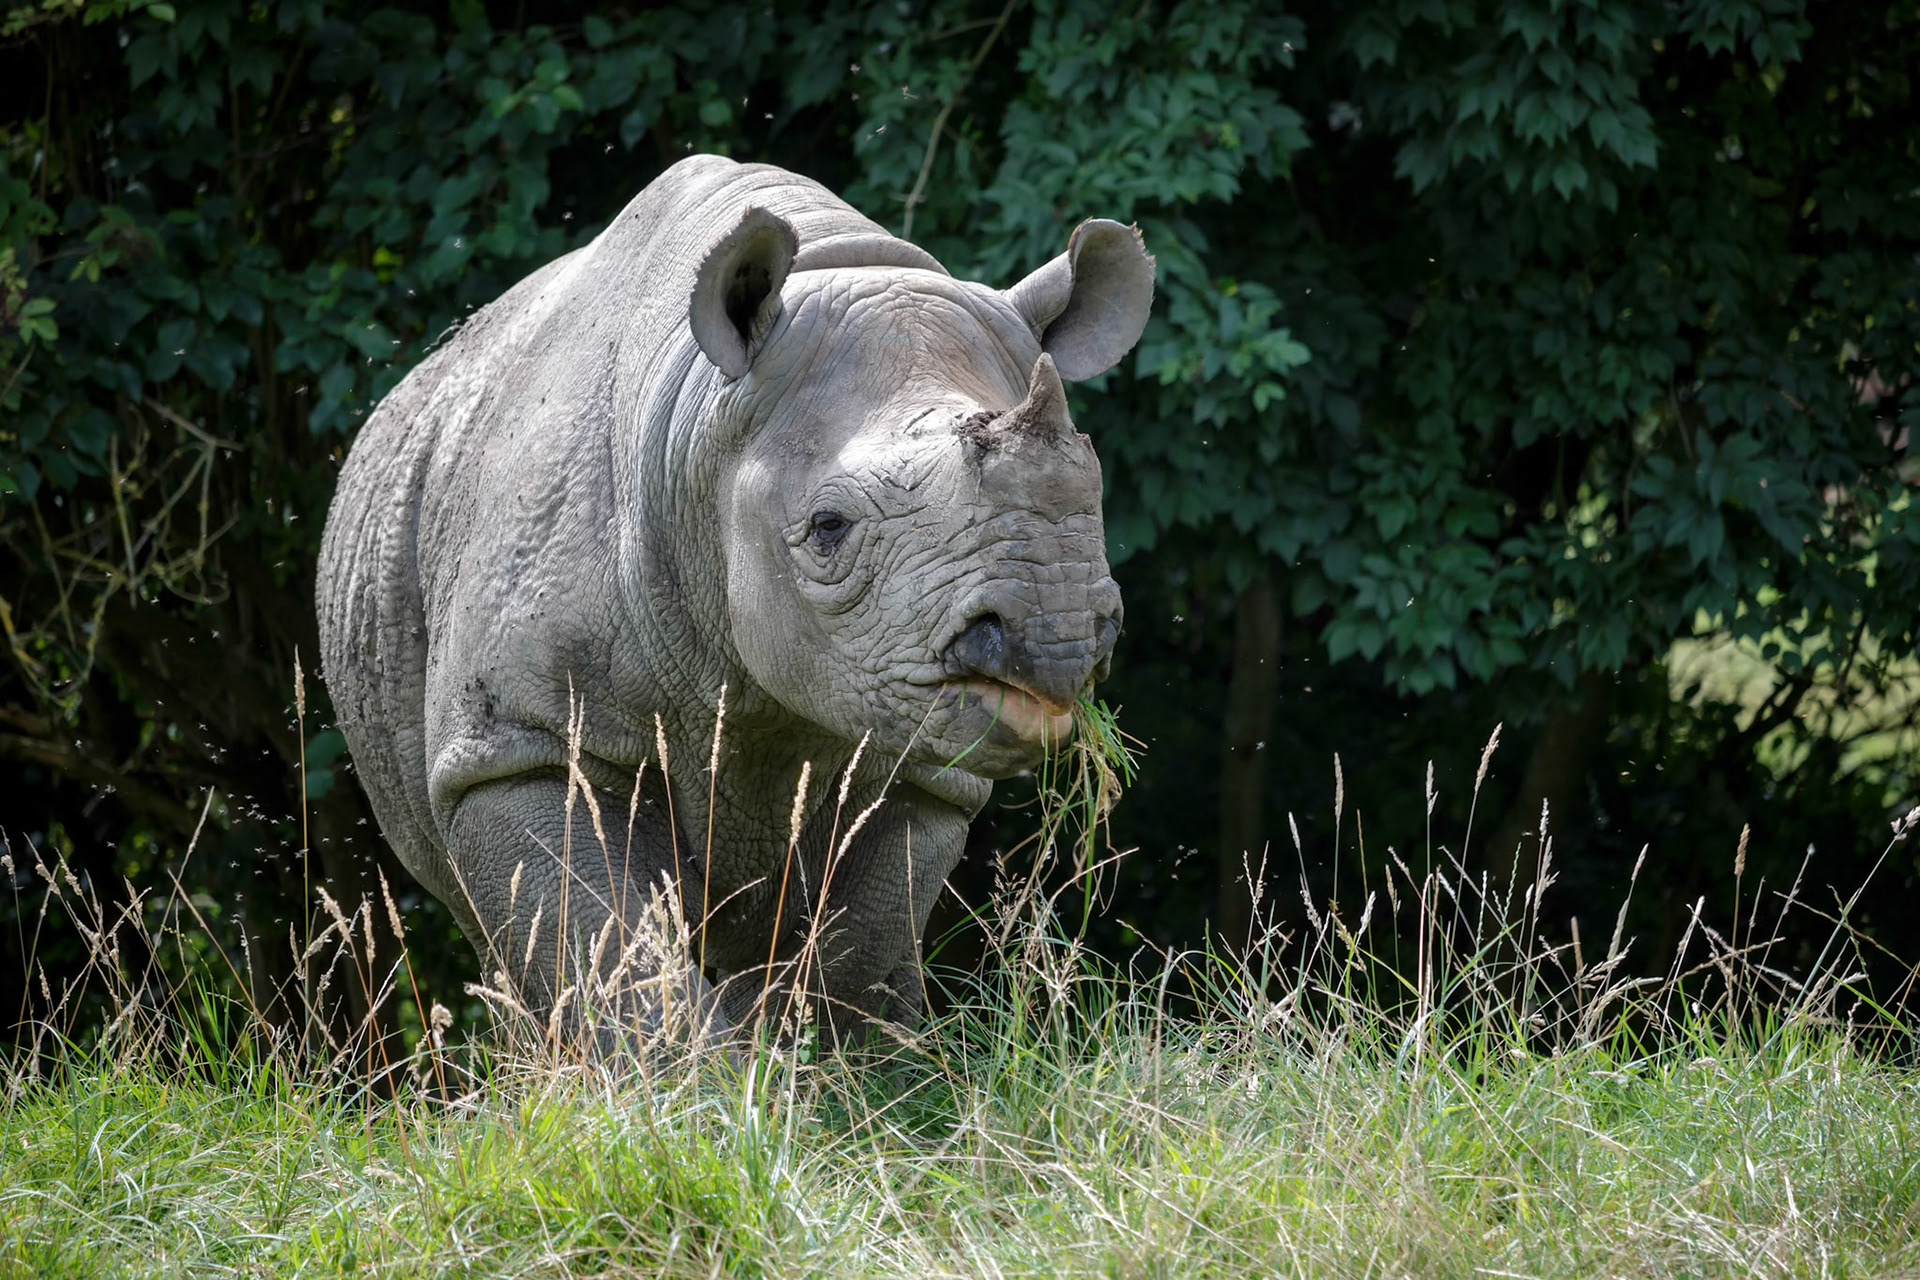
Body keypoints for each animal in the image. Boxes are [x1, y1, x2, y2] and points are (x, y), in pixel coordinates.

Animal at [317, 155, 1152, 1044]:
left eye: (1094, 499)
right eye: (828, 529)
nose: (1054, 637)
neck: (705, 432)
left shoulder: (920, 760)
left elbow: (854, 947)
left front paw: (817, 1066)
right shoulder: (519, 740)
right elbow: (605, 950)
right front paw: (691, 1075)